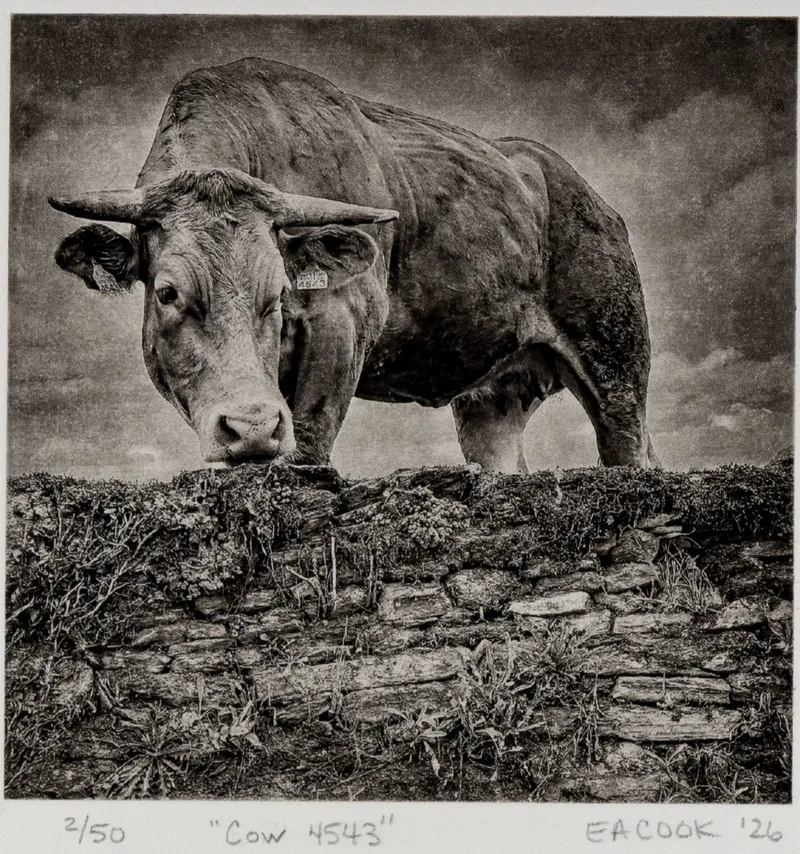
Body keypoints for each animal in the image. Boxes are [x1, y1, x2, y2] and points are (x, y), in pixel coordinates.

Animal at [49, 57, 659, 473]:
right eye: (167, 293)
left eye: (278, 294)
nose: (253, 426)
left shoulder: (342, 323)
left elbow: (309, 441)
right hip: (493, 399)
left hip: (616, 359)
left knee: (629, 446)